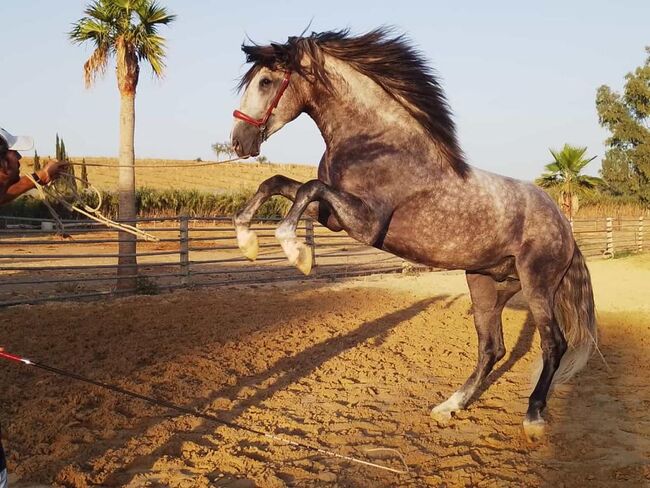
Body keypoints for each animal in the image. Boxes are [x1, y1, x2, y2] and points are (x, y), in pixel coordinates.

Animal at [228, 29, 592, 442]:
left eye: (266, 81)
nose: (239, 142)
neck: (378, 141)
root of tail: (564, 225)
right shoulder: (332, 217)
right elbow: (279, 182)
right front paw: (247, 242)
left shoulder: (365, 223)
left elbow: (308, 187)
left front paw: (296, 252)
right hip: (486, 284)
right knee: (491, 349)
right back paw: (450, 406)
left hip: (537, 285)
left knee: (553, 344)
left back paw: (533, 417)